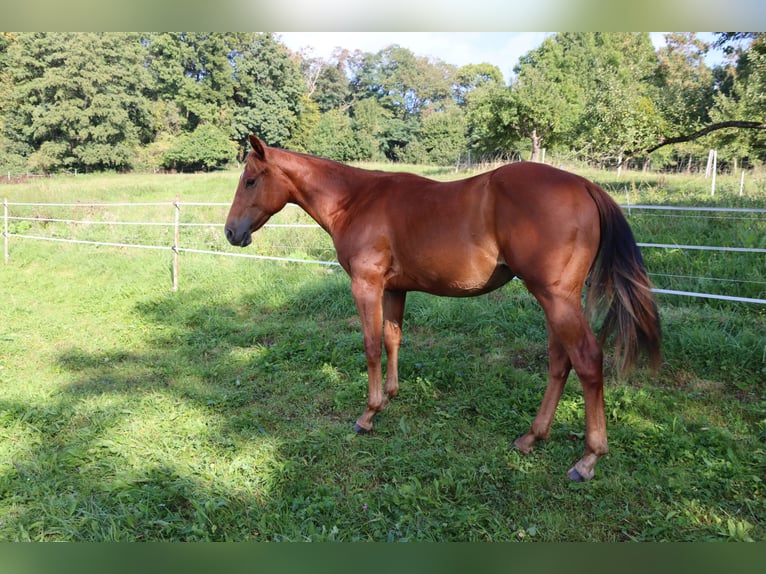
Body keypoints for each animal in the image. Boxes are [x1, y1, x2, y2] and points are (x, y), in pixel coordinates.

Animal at [225, 135, 661, 481]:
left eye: (250, 180)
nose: (231, 232)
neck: (355, 200)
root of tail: (585, 185)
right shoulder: (394, 290)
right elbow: (393, 339)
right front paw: (390, 396)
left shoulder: (366, 286)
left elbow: (370, 345)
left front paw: (368, 414)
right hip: (554, 301)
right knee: (560, 361)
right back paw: (531, 437)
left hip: (557, 300)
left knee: (585, 360)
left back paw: (588, 459)